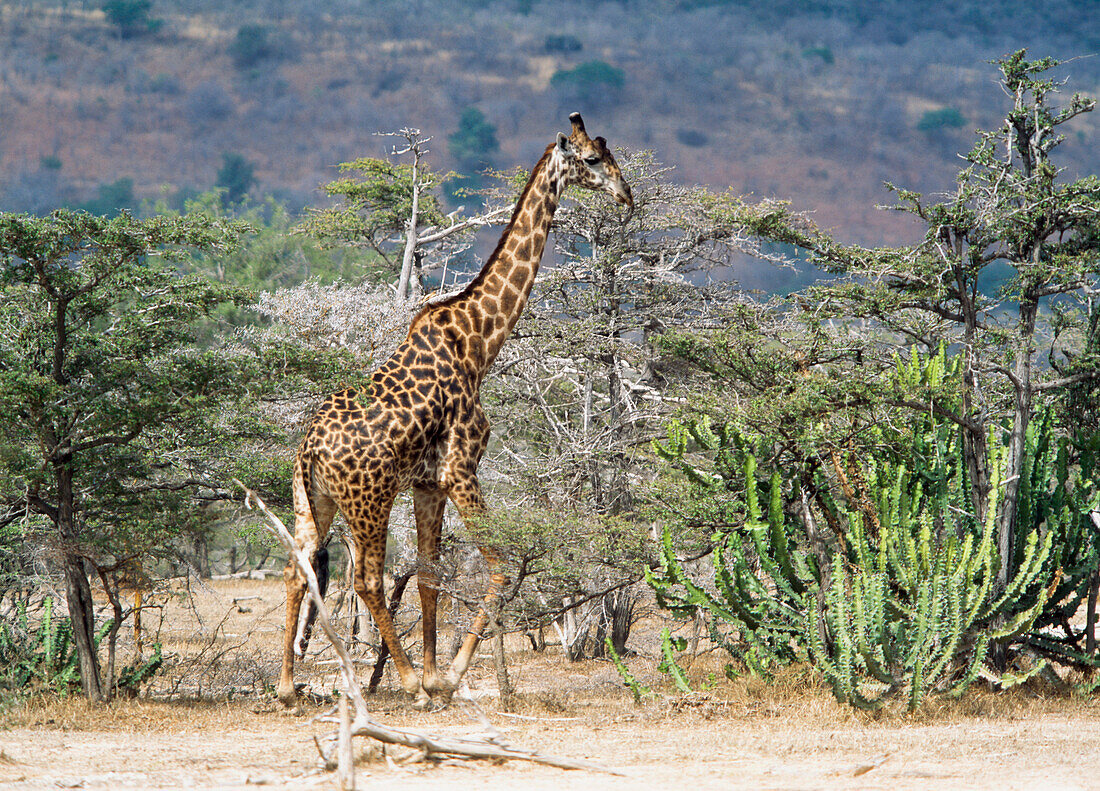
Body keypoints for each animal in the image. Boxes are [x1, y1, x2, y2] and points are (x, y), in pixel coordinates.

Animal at [279, 110, 633, 704]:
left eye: (612, 153)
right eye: (591, 159)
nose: (627, 195)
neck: (478, 342)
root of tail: (308, 450)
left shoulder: (428, 480)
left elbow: (429, 576)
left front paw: (434, 674)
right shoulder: (461, 466)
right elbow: (500, 568)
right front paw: (444, 677)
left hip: (316, 502)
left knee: (296, 568)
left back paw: (286, 684)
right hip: (369, 502)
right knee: (366, 580)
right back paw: (399, 679)